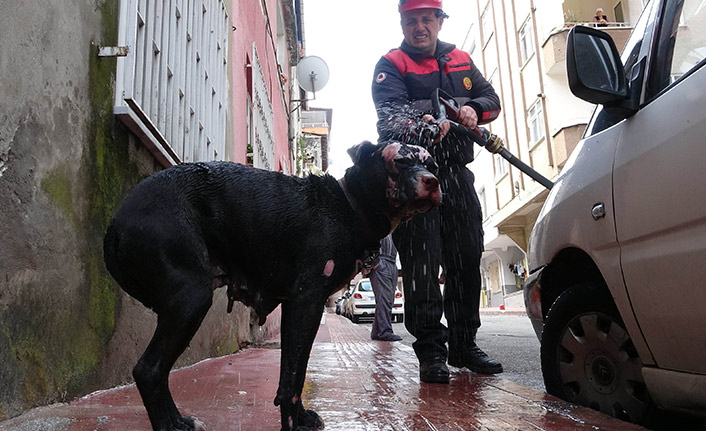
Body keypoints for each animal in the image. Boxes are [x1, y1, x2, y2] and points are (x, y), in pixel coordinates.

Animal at [103, 142, 440, 431]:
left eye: (433, 164)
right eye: (399, 161)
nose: (434, 181)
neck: (349, 206)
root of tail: (116, 222)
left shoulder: (300, 308)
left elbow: (295, 371)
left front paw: (300, 416)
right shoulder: (306, 302)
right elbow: (292, 377)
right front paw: (291, 422)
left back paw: (178, 420)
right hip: (190, 299)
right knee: (149, 370)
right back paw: (169, 424)